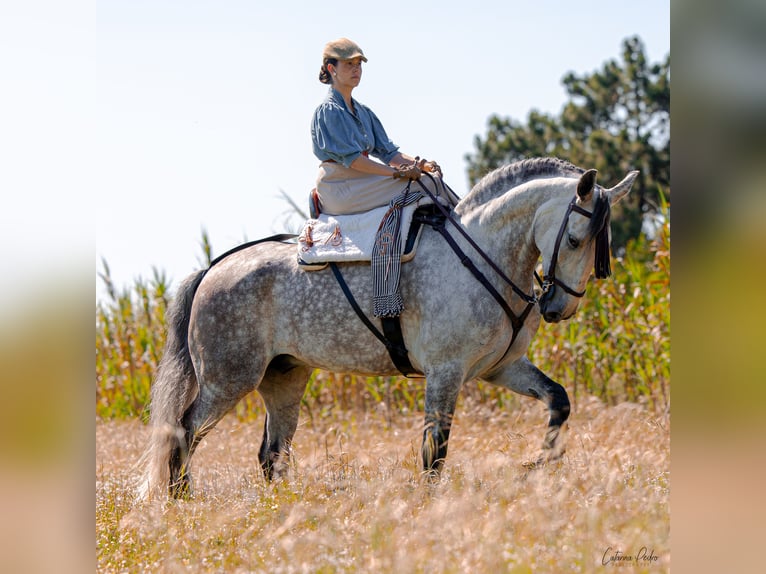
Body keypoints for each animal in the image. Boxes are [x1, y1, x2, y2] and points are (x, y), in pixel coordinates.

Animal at [136, 156, 636, 500]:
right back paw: (181, 500)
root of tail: (212, 268)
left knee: (271, 454)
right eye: (574, 239)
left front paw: (538, 462)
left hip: (285, 378)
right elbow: (435, 452)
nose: (558, 309)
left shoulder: (502, 368)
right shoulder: (445, 373)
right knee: (183, 431)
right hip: (228, 380)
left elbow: (559, 401)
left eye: (601, 246)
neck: (484, 253)